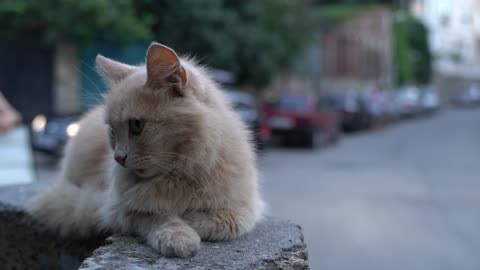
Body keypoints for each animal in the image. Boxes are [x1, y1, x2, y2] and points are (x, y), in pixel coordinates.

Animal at [29, 41, 264, 258]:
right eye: (112, 131)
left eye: (136, 125)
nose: (118, 157)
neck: (178, 175)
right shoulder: (120, 210)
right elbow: (159, 217)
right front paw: (178, 235)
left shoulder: (246, 208)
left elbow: (220, 221)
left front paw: (190, 219)